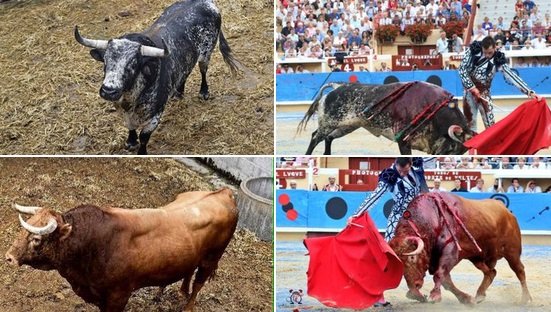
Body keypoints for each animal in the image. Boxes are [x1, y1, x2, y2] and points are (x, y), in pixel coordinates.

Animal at [4, 188, 238, 312]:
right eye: (27, 224)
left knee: (198, 284)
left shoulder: (118, 296)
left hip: (211, 258)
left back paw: (187, 306)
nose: (8, 257)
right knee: (188, 272)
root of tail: (223, 193)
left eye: (36, 239)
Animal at [74, 0, 238, 154]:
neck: (131, 99)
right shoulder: (124, 112)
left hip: (206, 53)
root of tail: (208, 3)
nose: (108, 91)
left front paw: (141, 152)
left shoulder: (155, 117)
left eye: (133, 63)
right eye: (105, 61)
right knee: (185, 72)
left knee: (203, 71)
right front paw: (130, 142)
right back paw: (178, 93)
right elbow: (130, 127)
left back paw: (204, 92)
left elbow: (144, 137)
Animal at [298, 81, 474, 155]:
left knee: (328, 138)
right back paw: (308, 156)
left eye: (461, 152)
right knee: (316, 136)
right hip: (329, 123)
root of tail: (337, 86)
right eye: (452, 148)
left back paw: (326, 155)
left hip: (347, 126)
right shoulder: (403, 140)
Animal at [388, 193, 532, 304]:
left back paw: (525, 299)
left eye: (412, 257)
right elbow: (447, 281)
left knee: (520, 271)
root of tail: (508, 212)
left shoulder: (450, 253)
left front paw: (435, 296)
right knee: (491, 272)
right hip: (478, 257)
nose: (413, 290)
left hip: (512, 252)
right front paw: (467, 300)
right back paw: (479, 296)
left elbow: (440, 275)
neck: (432, 218)